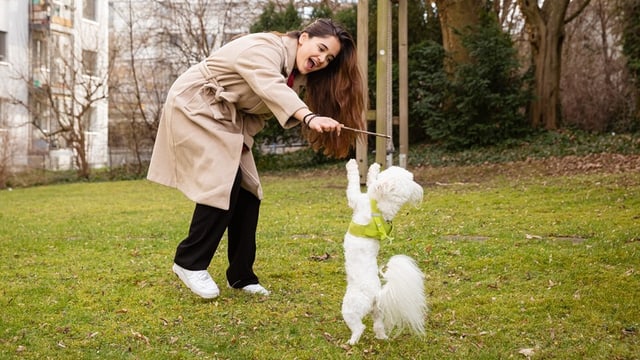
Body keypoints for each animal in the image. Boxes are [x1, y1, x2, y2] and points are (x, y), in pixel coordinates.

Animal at [342, 159, 428, 344]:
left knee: (359, 327)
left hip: (351, 307)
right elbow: (371, 180)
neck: (379, 206)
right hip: (377, 312)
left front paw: (352, 166)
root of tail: (377, 294)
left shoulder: (355, 199)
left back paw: (351, 342)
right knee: (378, 325)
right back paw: (382, 336)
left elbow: (354, 183)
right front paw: (374, 168)